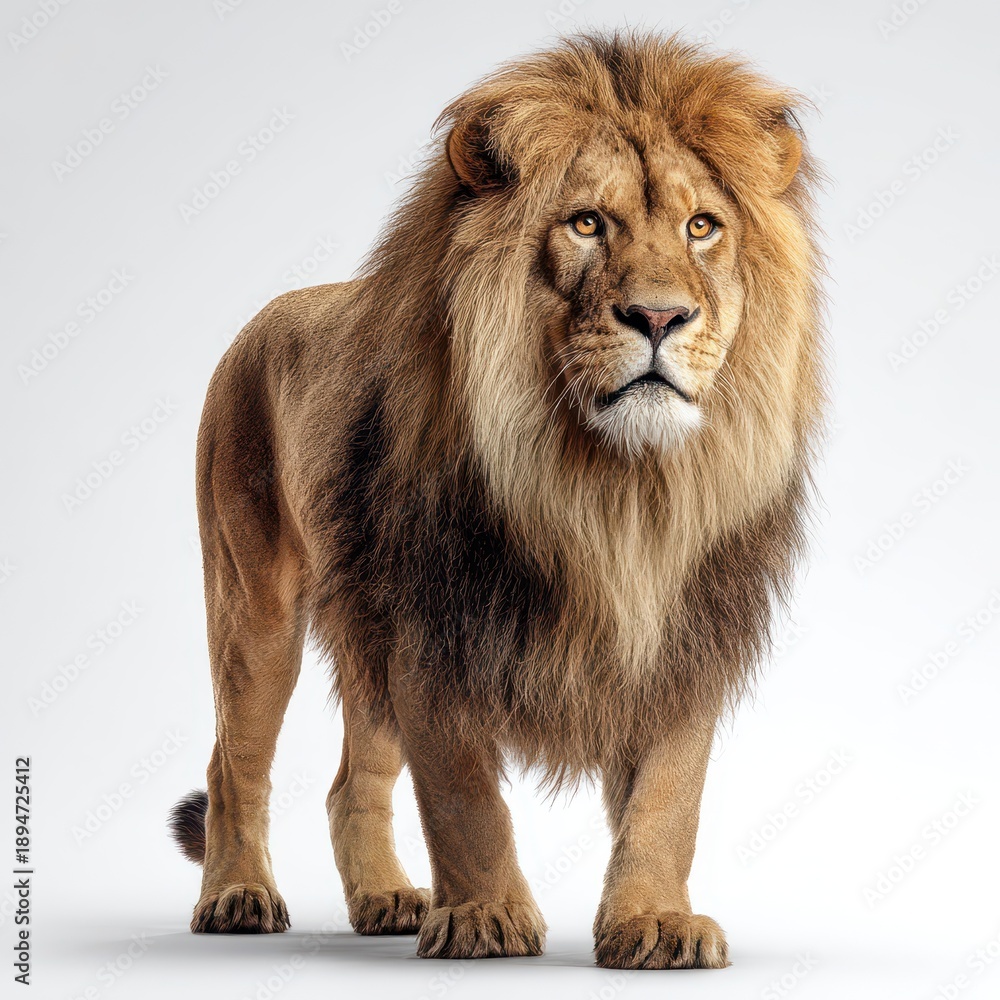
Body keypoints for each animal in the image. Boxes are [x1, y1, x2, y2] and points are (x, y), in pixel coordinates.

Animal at [169, 31, 825, 970]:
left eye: (702, 227)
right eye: (586, 223)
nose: (660, 318)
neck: (615, 489)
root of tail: (269, 312)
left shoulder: (683, 630)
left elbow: (669, 798)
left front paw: (655, 921)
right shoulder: (428, 622)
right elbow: (462, 793)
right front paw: (485, 916)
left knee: (351, 780)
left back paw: (386, 899)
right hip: (253, 605)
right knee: (234, 765)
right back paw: (236, 897)